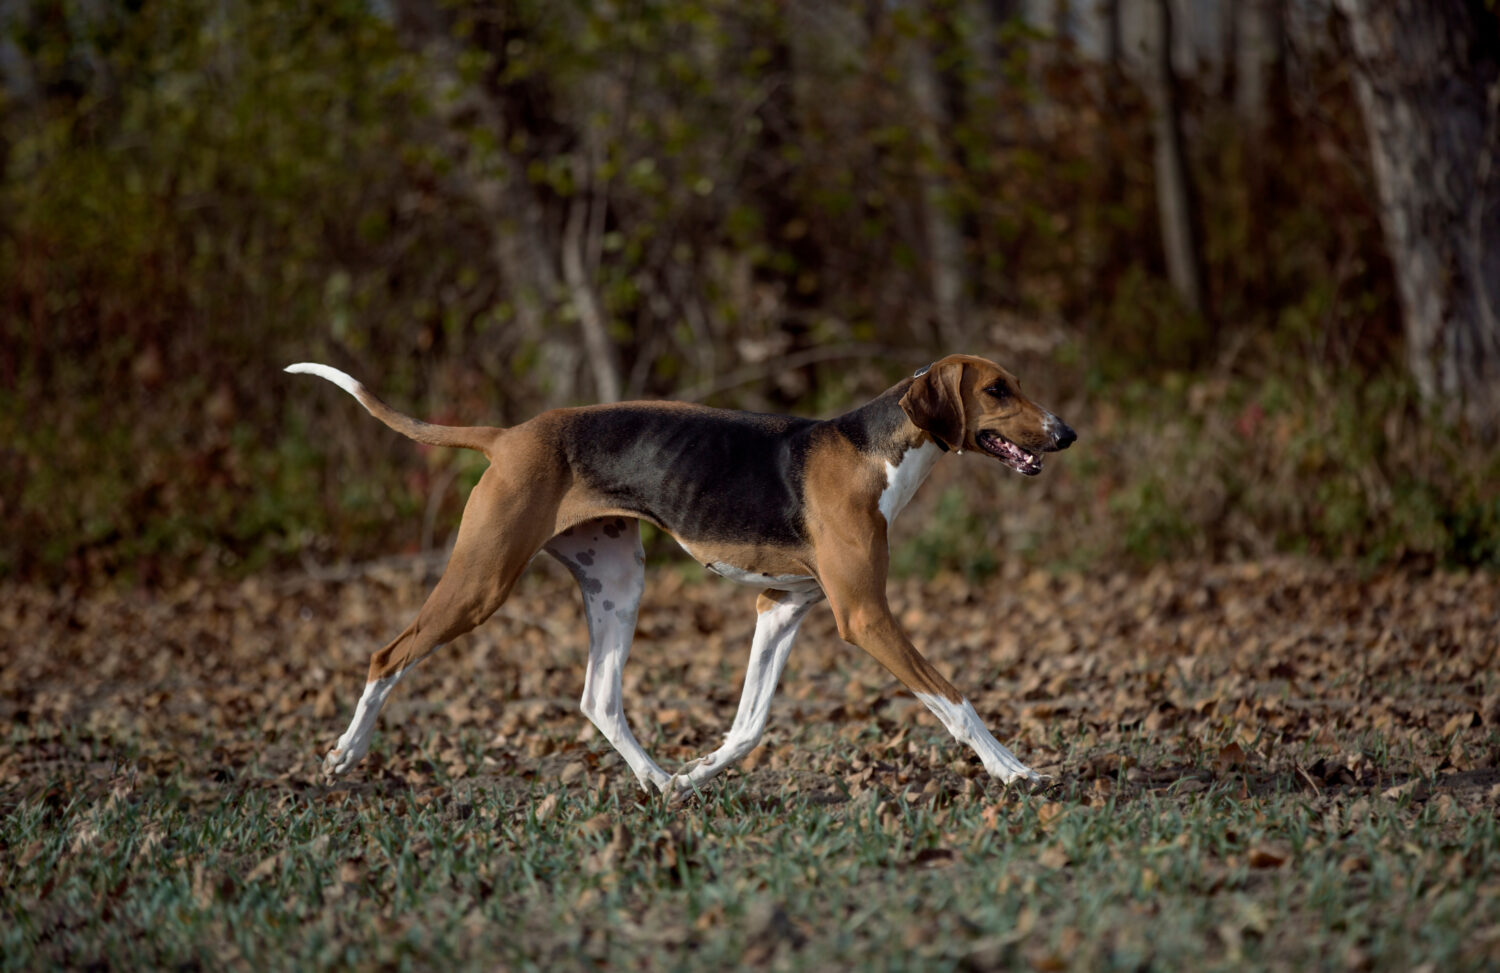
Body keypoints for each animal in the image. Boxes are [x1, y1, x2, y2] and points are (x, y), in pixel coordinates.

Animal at [286, 352, 1074, 791]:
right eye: (998, 391)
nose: (1066, 432)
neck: (872, 451)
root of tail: (509, 436)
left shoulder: (782, 608)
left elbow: (749, 725)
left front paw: (699, 771)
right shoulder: (865, 617)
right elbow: (956, 700)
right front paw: (1016, 770)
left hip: (618, 584)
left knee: (599, 699)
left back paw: (661, 781)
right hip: (481, 583)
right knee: (388, 655)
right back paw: (343, 756)